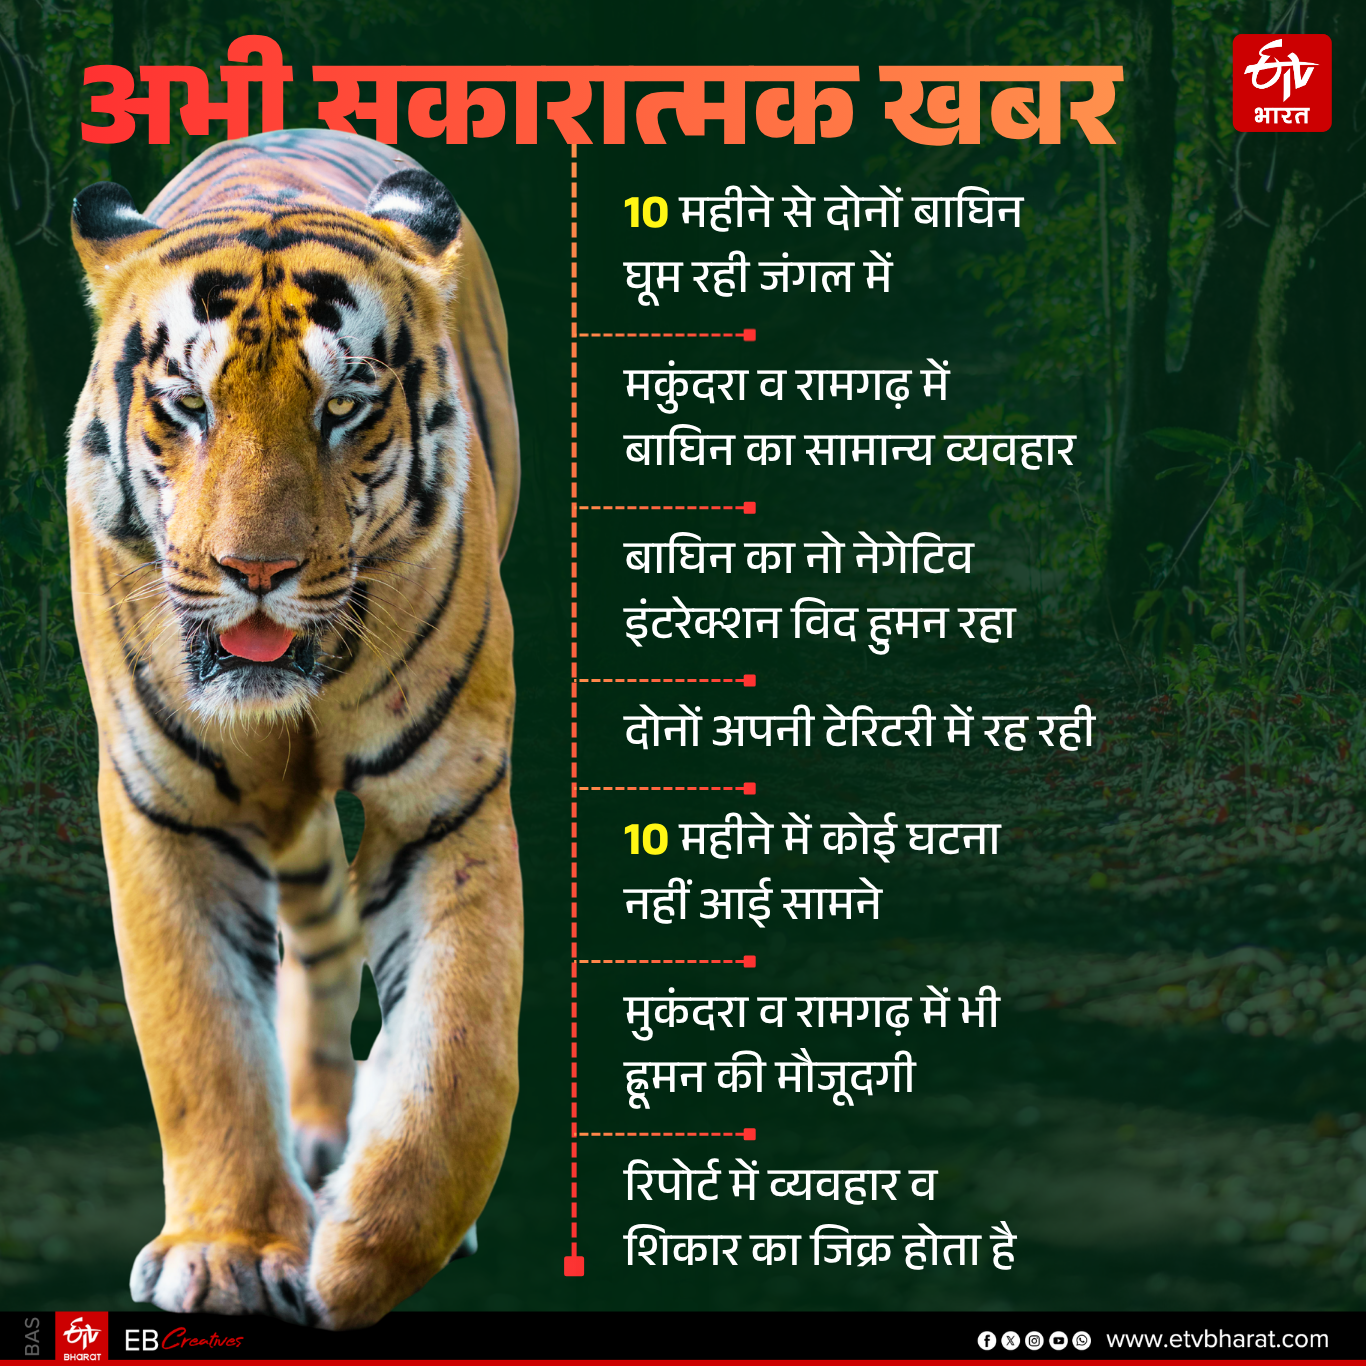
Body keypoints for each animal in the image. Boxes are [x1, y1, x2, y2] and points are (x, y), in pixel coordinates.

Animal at [66, 126, 522, 1328]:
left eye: (344, 407)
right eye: (187, 404)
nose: (255, 572)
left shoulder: (446, 799)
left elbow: (461, 1053)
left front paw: (367, 1256)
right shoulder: (166, 806)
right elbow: (203, 1043)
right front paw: (228, 1252)